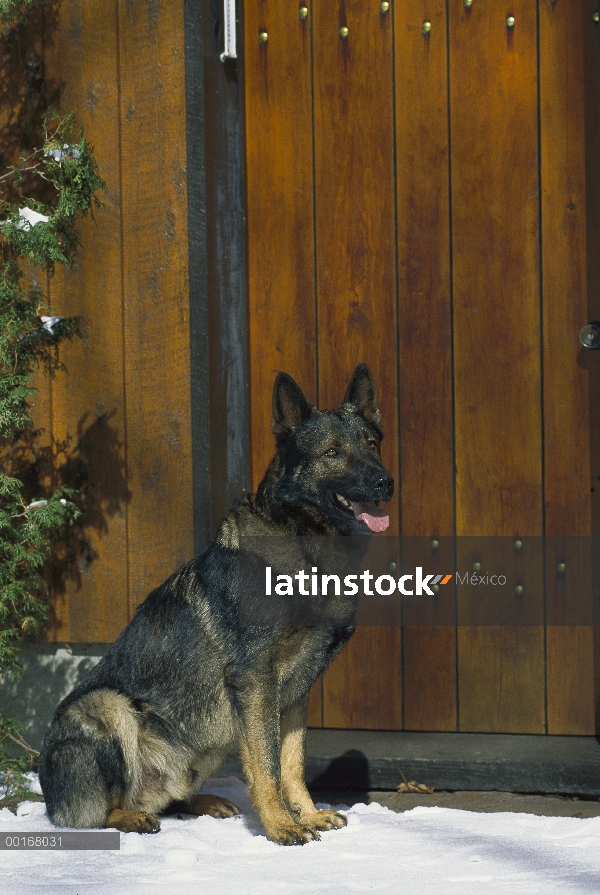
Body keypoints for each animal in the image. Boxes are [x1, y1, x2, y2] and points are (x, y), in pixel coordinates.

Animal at [37, 364, 394, 848]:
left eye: (371, 443)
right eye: (333, 452)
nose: (385, 482)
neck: (307, 546)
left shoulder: (295, 691)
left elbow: (290, 762)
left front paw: (308, 814)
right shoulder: (255, 680)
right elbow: (266, 767)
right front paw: (281, 826)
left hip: (210, 739)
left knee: (171, 796)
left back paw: (202, 802)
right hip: (107, 706)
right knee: (99, 811)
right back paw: (129, 817)